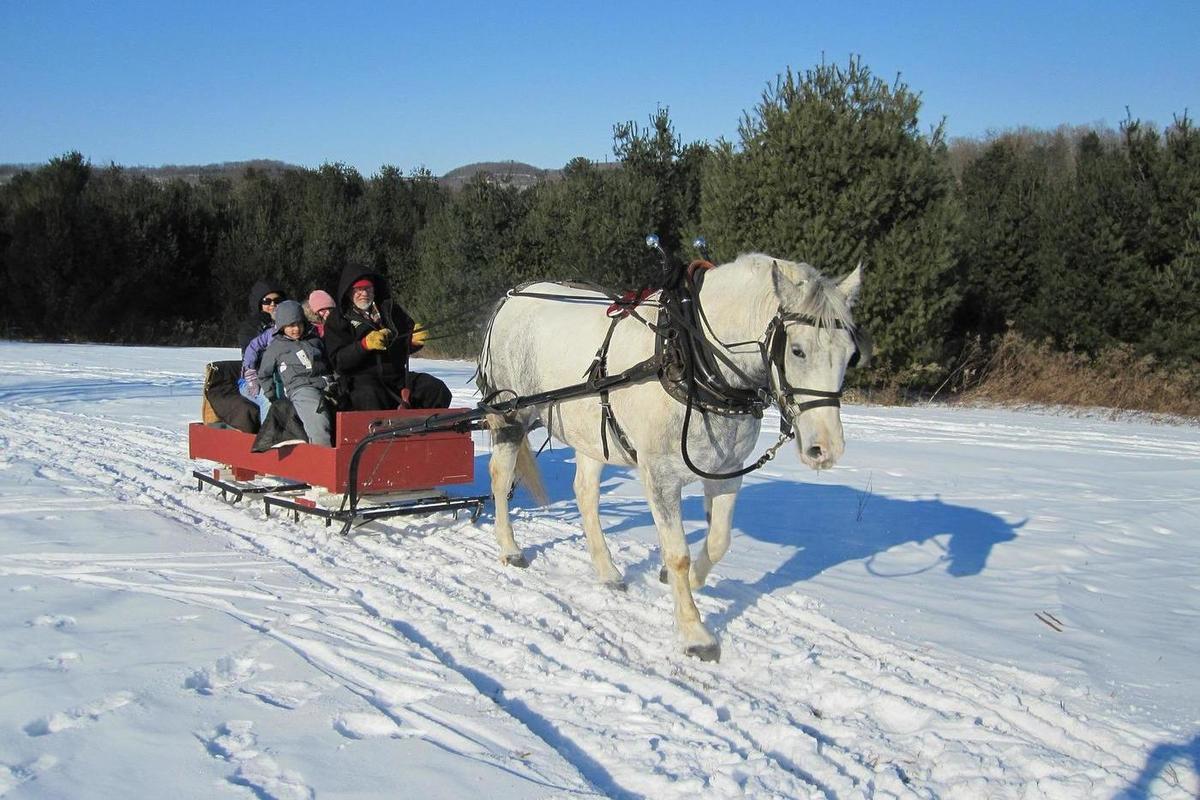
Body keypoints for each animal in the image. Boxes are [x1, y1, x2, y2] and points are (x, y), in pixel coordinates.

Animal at [477, 253, 864, 662]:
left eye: (850, 355)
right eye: (797, 350)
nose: (826, 448)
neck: (692, 361)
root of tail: (512, 296)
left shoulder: (727, 472)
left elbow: (719, 540)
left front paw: (687, 580)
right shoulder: (660, 475)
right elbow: (678, 552)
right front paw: (696, 633)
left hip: (591, 434)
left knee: (585, 495)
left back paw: (608, 571)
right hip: (511, 415)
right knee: (500, 477)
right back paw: (511, 549)